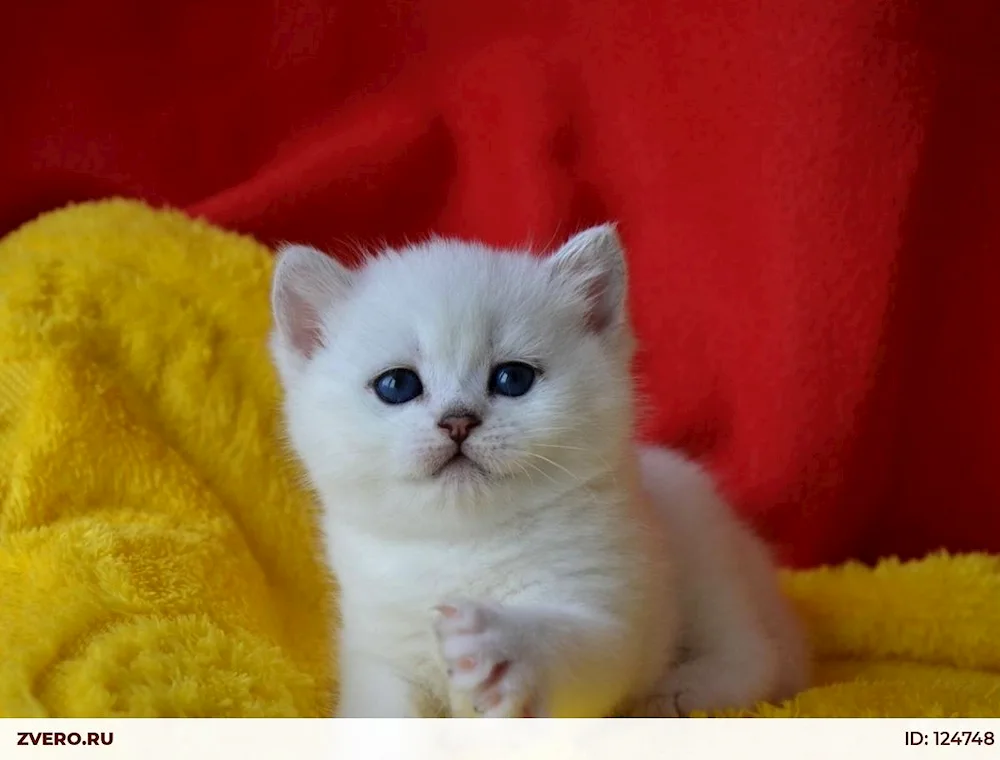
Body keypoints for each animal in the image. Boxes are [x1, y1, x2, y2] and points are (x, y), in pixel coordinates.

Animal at [270, 223, 808, 716]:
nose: (458, 420)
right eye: (397, 385)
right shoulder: (378, 656)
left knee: (755, 657)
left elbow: (581, 645)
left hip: (705, 554)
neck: (463, 544)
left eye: (513, 378)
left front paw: (504, 648)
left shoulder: (616, 610)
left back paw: (675, 695)